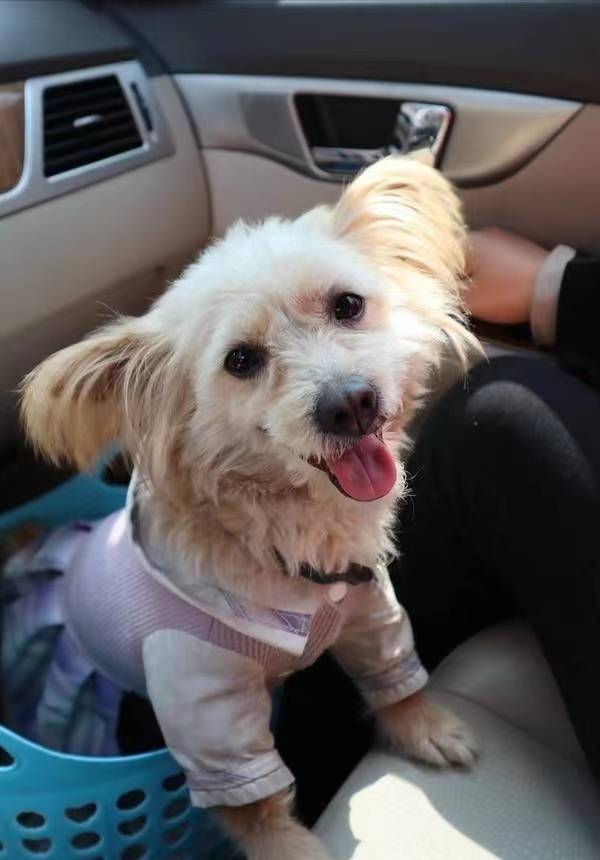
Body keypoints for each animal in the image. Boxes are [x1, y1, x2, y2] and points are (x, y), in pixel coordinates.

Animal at [20, 155, 479, 860]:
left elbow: (394, 673)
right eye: (241, 361)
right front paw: (294, 850)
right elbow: (254, 801)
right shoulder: (201, 696)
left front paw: (425, 725)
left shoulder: (372, 609)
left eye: (348, 305)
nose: (351, 404)